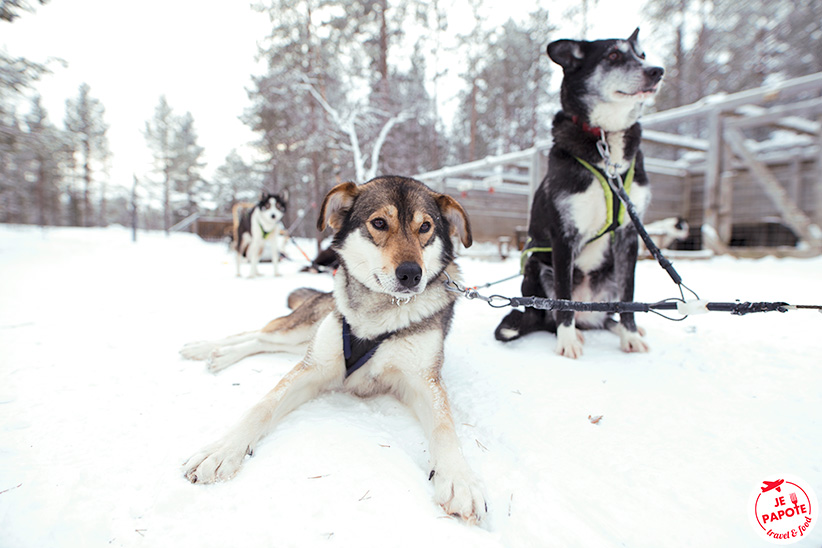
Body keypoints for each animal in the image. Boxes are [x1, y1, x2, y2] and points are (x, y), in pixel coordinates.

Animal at [183, 178, 486, 524]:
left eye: (425, 227)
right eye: (379, 223)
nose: (411, 274)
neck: (380, 316)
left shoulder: (423, 380)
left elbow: (445, 428)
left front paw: (459, 478)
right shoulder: (315, 366)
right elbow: (262, 407)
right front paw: (221, 450)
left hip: (300, 339)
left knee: (262, 341)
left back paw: (217, 355)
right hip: (300, 330)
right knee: (259, 334)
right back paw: (209, 349)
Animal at [496, 28, 664, 360]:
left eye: (641, 55)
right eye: (613, 55)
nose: (657, 71)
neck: (604, 141)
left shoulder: (628, 236)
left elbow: (629, 298)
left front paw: (630, 335)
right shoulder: (564, 236)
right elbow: (564, 301)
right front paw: (567, 341)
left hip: (608, 275)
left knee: (608, 313)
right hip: (536, 265)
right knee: (551, 315)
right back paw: (574, 332)